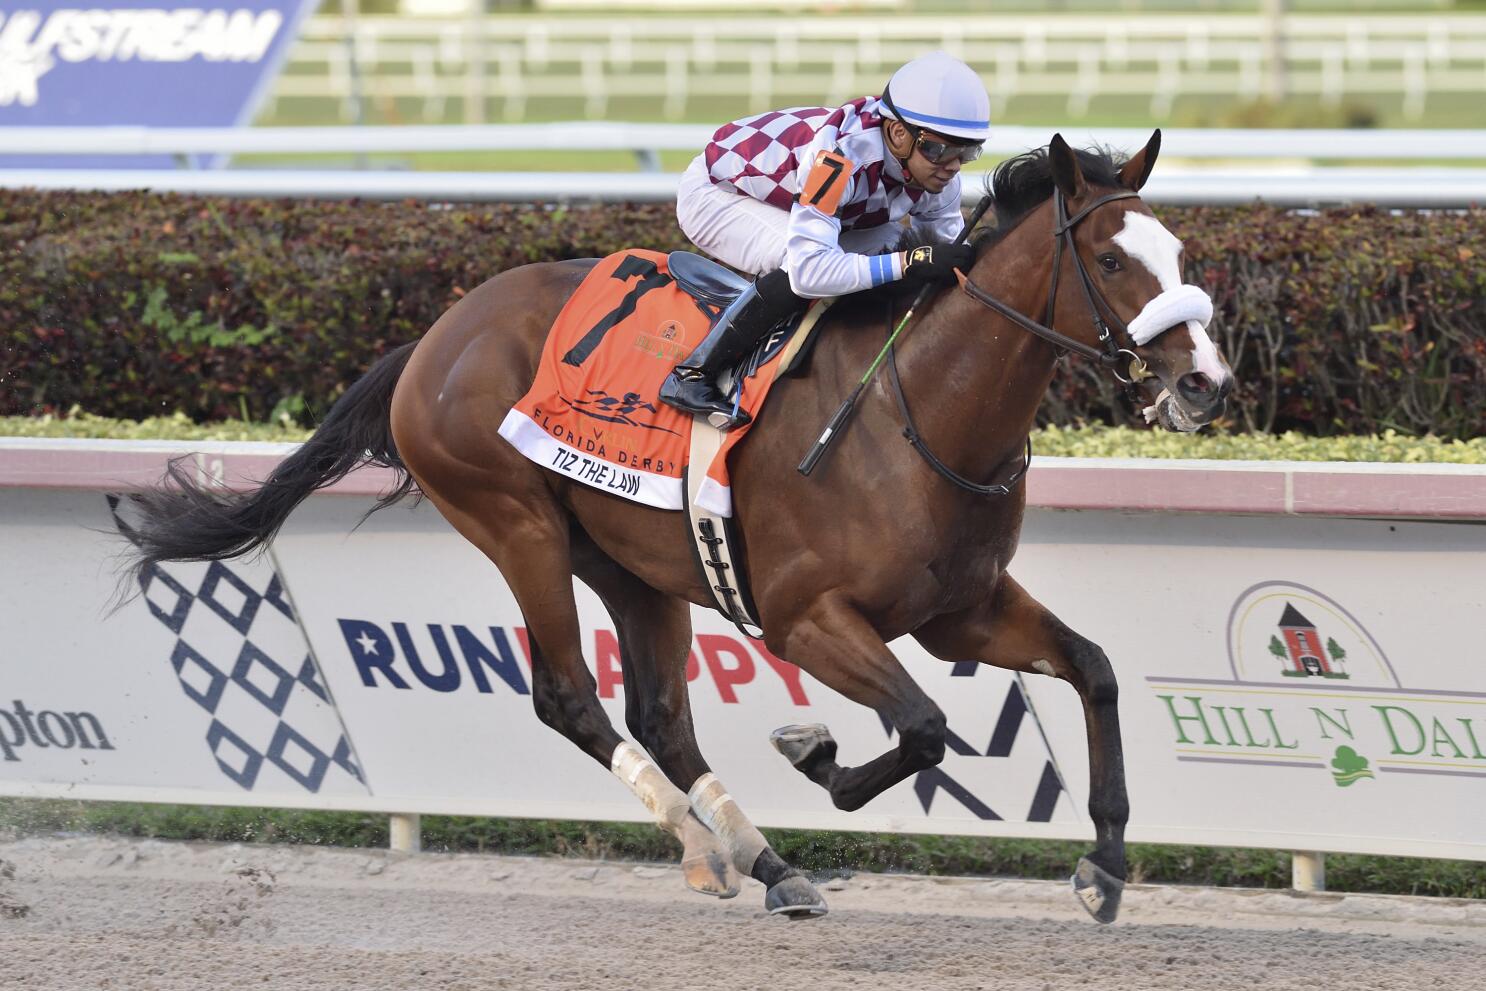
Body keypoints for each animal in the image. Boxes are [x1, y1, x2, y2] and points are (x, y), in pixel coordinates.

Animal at [121, 131, 1230, 921]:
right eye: (1109, 259)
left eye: (1179, 250)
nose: (1206, 384)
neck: (914, 409)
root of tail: (434, 337)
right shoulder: (806, 617)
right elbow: (920, 726)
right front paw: (813, 753)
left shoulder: (958, 608)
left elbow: (1092, 669)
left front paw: (1106, 862)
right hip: (515, 522)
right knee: (569, 696)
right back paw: (705, 849)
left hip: (631, 561)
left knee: (660, 712)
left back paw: (767, 862)